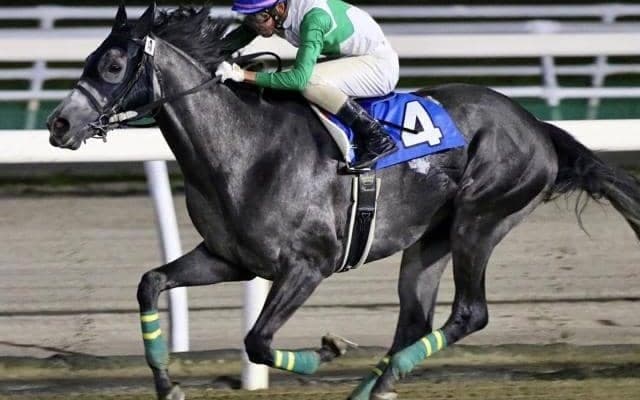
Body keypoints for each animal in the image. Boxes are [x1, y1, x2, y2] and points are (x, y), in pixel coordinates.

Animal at [46, 4, 640, 400]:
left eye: (114, 66)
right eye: (90, 58)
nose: (59, 125)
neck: (244, 148)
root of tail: (536, 126)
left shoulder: (308, 266)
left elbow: (257, 340)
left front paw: (329, 349)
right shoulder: (229, 259)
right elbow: (151, 283)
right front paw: (168, 385)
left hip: (481, 218)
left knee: (469, 313)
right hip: (429, 240)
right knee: (414, 319)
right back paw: (374, 388)